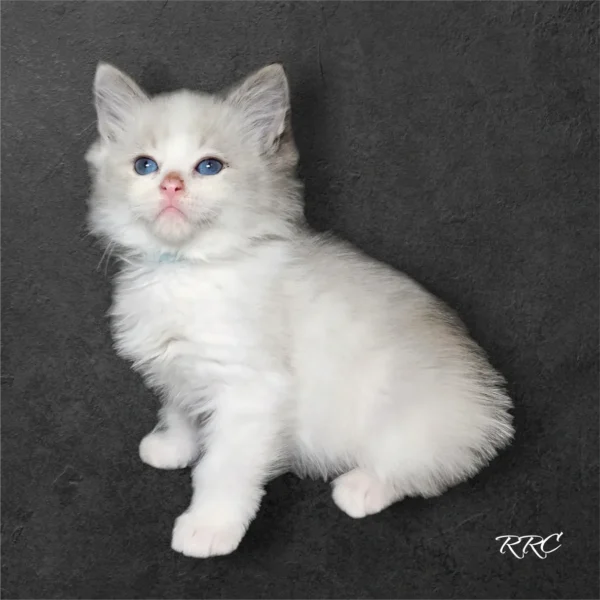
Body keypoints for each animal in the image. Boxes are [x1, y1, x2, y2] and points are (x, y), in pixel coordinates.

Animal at [86, 62, 512, 556]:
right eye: (145, 166)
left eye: (209, 167)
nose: (170, 183)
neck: (189, 269)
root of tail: (490, 407)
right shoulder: (179, 366)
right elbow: (179, 408)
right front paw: (173, 446)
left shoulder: (250, 393)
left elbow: (222, 468)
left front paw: (209, 526)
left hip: (409, 420)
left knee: (421, 467)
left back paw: (362, 488)